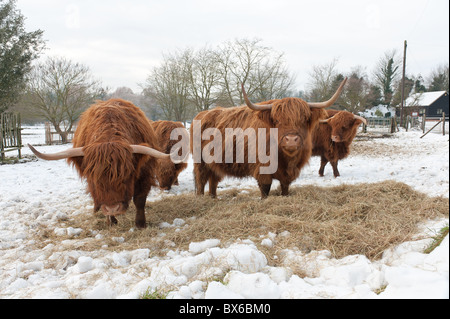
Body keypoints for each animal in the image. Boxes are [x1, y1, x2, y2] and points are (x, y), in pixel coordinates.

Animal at [28, 99, 182, 229]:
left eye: (127, 175)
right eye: (95, 179)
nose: (113, 208)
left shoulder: (144, 174)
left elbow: (139, 200)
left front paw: (140, 224)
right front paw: (111, 221)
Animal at [190, 78, 348, 199]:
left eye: (304, 119)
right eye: (277, 121)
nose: (291, 139)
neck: (286, 159)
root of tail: (202, 114)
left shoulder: (289, 172)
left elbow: (285, 187)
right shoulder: (262, 169)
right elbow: (265, 188)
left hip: (214, 163)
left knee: (213, 180)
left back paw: (213, 198)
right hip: (200, 161)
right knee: (201, 180)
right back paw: (201, 199)